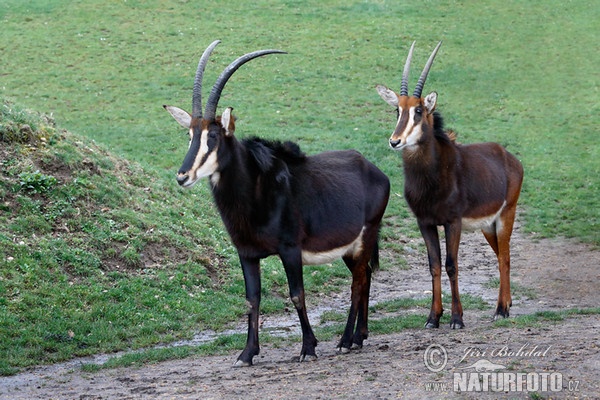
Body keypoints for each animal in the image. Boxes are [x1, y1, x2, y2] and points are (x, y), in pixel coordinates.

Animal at [164, 40, 390, 366]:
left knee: (358, 282)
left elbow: (297, 295)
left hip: (365, 236)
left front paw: (308, 348)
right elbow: (251, 299)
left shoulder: (289, 249)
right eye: (190, 134)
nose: (183, 176)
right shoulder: (247, 254)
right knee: (366, 277)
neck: (256, 192)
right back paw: (359, 337)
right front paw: (247, 353)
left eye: (214, 136)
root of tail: (376, 171)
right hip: (350, 247)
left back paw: (346, 341)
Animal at [378, 41, 524, 328]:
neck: (432, 176)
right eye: (397, 110)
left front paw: (457, 317)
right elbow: (434, 265)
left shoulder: (452, 222)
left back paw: (501, 309)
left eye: (419, 111)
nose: (395, 141)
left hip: (506, 215)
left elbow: (451, 265)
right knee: (503, 255)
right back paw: (507, 303)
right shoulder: (425, 223)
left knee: (503, 257)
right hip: (488, 226)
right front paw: (433, 317)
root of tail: (509, 157)